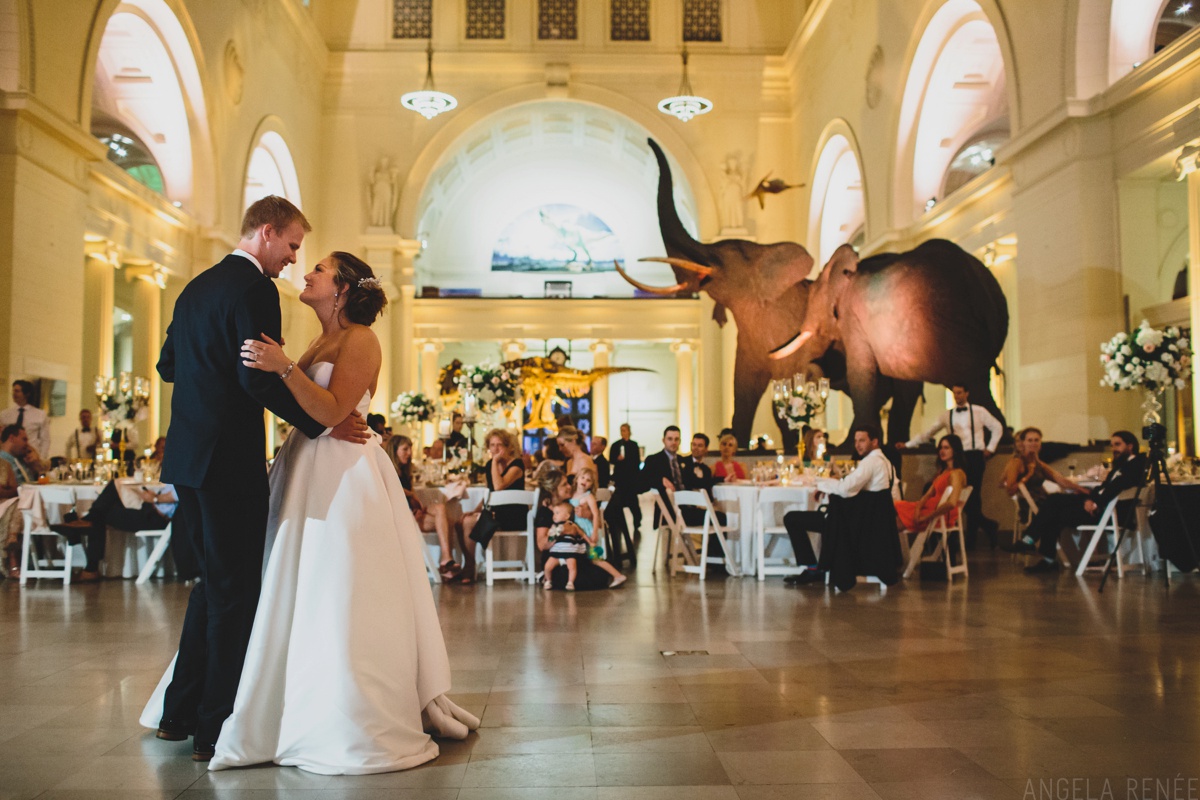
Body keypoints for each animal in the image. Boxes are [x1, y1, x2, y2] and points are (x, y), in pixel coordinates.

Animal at [768, 242, 1012, 443]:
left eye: (813, 304)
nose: (810, 372)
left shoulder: (853, 319)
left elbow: (861, 374)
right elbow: (905, 386)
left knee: (974, 384)